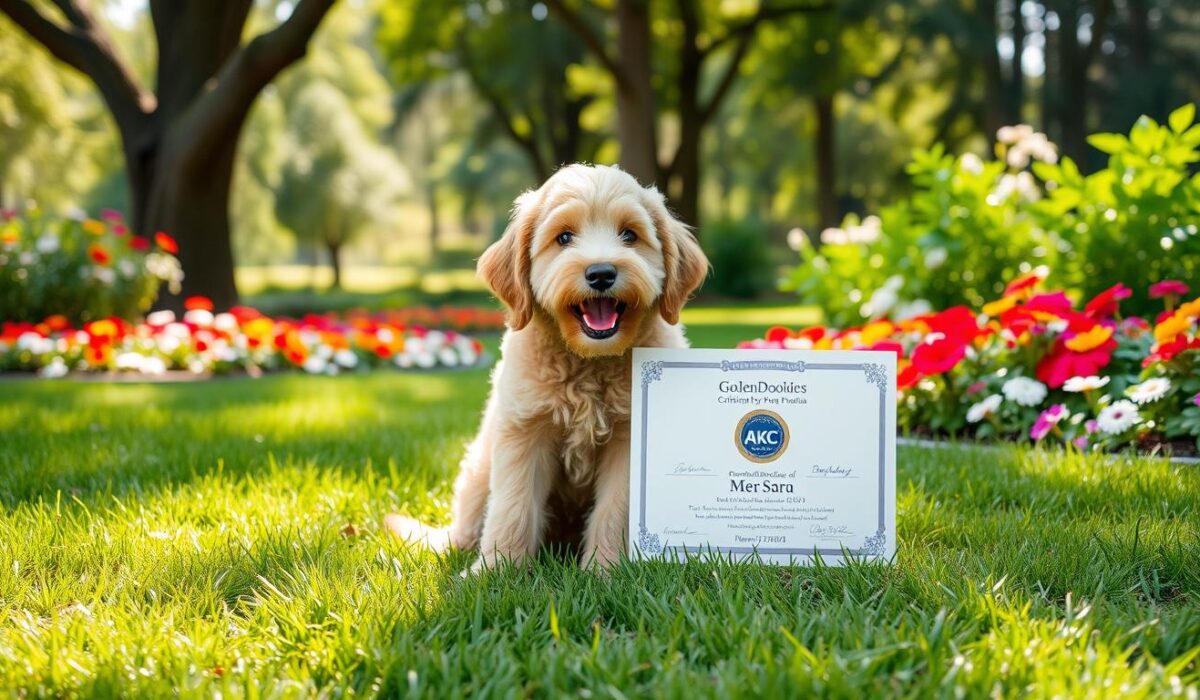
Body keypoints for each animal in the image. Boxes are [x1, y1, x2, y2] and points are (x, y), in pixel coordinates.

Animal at [384, 164, 705, 569]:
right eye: (564, 237)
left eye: (629, 235)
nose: (601, 274)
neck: (588, 363)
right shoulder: (525, 430)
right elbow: (513, 507)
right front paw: (496, 570)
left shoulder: (629, 436)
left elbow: (614, 511)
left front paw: (605, 570)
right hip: (478, 470)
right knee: (468, 528)